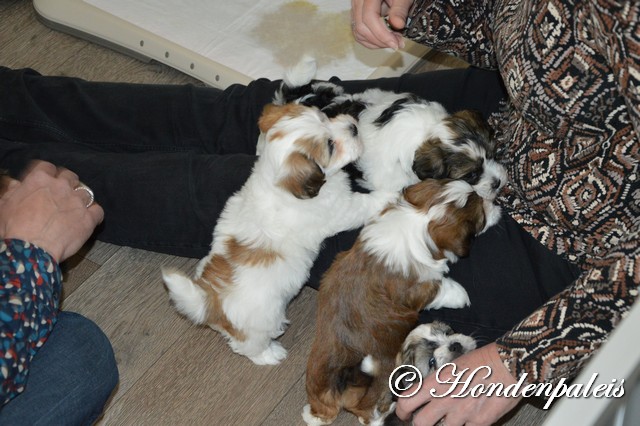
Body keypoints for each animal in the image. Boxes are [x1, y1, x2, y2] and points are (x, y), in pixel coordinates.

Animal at [162, 103, 392, 366]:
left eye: (324, 117)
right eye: (330, 146)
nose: (353, 126)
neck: (277, 182)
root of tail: (210, 301)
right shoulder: (340, 210)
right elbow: (364, 204)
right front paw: (390, 193)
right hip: (262, 322)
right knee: (249, 346)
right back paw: (270, 354)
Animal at [302, 178, 502, 424]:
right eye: (481, 217)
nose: (494, 203)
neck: (420, 219)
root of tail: (338, 386)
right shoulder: (418, 290)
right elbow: (438, 287)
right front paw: (460, 295)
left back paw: (311, 415)